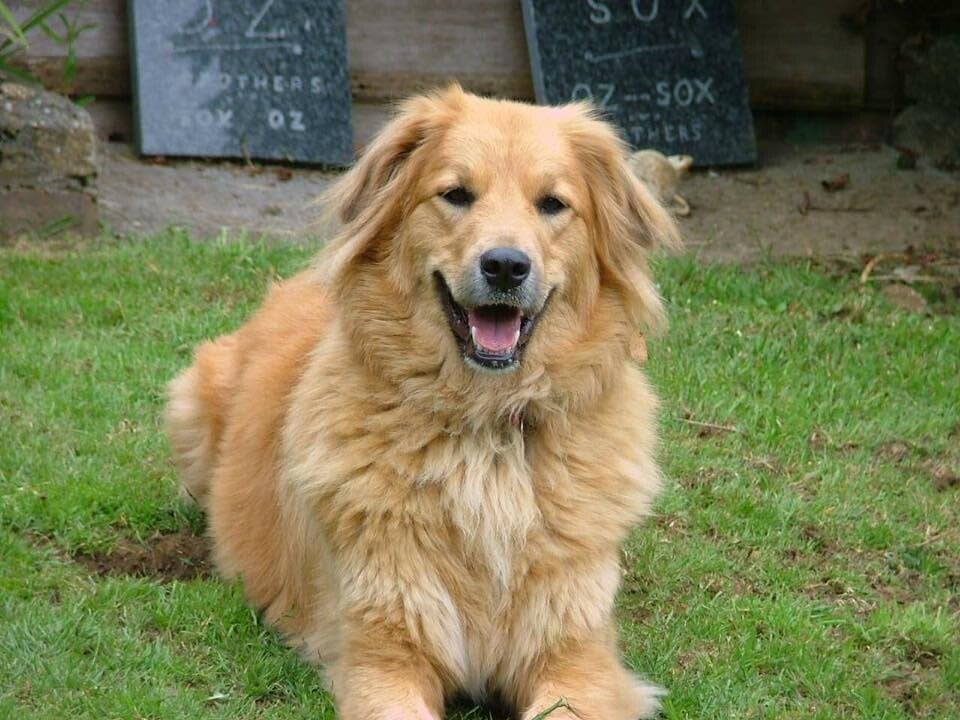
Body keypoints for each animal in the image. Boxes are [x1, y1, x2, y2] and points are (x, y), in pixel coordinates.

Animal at [165, 85, 680, 720]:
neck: (487, 429)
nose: (505, 265)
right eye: (456, 194)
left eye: (553, 204)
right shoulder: (383, 657)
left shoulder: (577, 661)